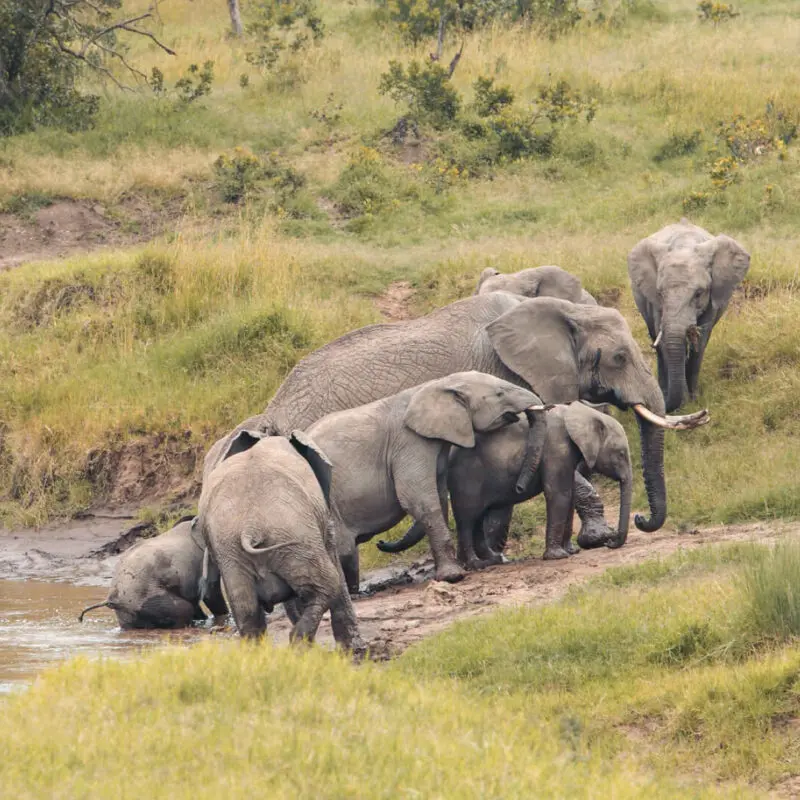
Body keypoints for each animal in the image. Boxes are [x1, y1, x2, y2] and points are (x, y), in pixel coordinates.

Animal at [197, 431, 363, 649]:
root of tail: (250, 527)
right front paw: (353, 649)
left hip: (231, 549)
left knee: (246, 608)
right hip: (295, 536)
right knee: (328, 583)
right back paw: (299, 644)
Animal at [302, 371, 545, 589]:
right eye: (500, 393)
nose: (380, 543)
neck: (437, 384)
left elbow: (439, 497)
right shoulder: (409, 443)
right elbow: (418, 499)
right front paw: (453, 576)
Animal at [378, 402, 632, 563]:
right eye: (620, 454)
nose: (611, 542)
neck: (581, 413)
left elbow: (567, 494)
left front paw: (571, 552)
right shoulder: (556, 447)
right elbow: (558, 494)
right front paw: (558, 556)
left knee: (478, 517)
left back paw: (492, 559)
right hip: (466, 478)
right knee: (468, 518)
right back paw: (475, 564)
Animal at [628, 219, 750, 412]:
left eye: (698, 294)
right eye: (660, 293)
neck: (683, 245)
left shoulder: (712, 298)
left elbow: (700, 342)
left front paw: (693, 399)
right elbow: (664, 342)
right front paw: (682, 403)